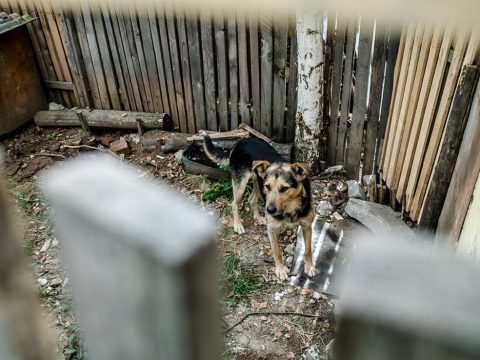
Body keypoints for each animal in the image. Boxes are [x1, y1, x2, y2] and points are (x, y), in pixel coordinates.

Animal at [202, 132, 316, 282]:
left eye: (285, 189)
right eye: (269, 186)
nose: (270, 211)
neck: (290, 207)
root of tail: (239, 142)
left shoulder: (307, 226)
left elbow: (308, 250)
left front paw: (309, 267)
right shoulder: (272, 229)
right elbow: (277, 252)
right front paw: (280, 270)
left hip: (257, 181)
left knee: (251, 200)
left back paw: (258, 217)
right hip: (242, 184)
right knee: (234, 203)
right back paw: (238, 225)